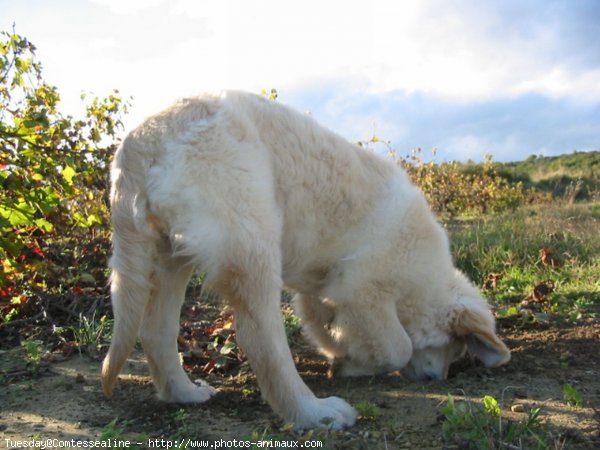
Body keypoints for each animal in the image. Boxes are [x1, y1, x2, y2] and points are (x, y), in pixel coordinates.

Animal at [101, 90, 508, 428]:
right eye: (452, 347)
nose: (435, 380)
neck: (426, 280)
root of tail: (146, 138)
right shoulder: (363, 289)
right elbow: (397, 346)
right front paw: (354, 362)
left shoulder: (325, 288)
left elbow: (322, 322)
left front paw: (342, 354)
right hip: (252, 241)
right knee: (261, 340)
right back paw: (314, 413)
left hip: (170, 255)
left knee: (156, 330)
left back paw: (184, 393)